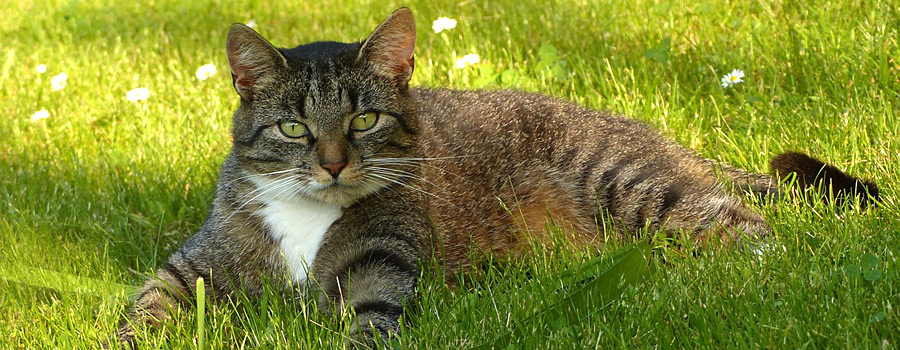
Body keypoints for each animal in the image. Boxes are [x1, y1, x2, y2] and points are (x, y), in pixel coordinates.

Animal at [112, 6, 880, 346]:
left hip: (630, 182)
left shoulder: (382, 266)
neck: (305, 215)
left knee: (745, 229)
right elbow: (145, 305)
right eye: (294, 129)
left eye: (364, 120)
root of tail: (664, 138)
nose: (332, 163)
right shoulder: (194, 265)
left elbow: (369, 324)